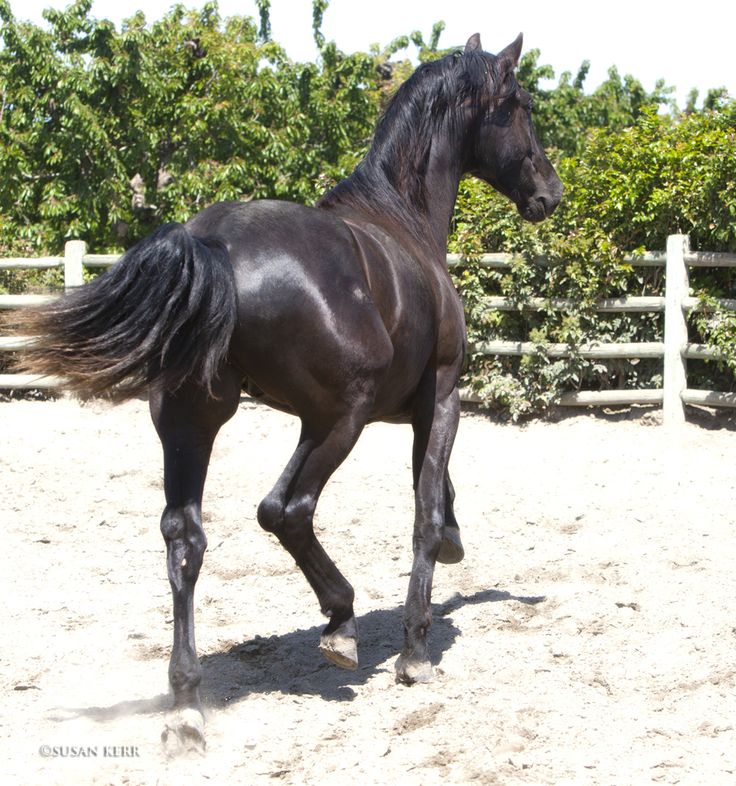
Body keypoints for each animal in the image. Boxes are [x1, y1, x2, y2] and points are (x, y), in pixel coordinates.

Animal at [15, 33, 556, 752]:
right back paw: (340, 623)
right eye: (521, 107)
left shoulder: (358, 417)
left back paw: (187, 705)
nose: (549, 191)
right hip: (341, 420)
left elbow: (435, 489)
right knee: (288, 510)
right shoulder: (440, 397)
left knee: (187, 538)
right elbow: (422, 507)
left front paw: (453, 542)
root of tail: (210, 242)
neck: (403, 219)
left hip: (196, 421)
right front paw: (416, 648)